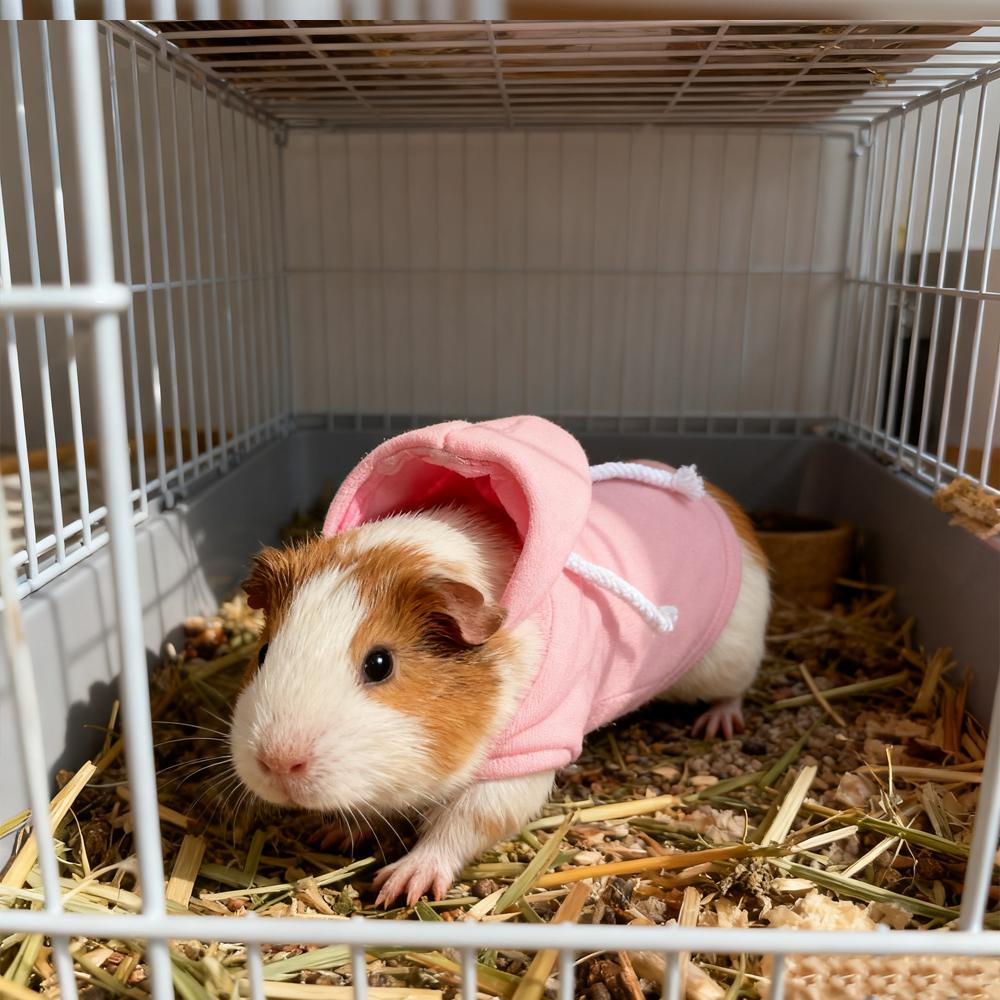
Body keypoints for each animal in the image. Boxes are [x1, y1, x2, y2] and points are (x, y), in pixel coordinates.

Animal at [229, 479, 769, 907]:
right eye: (263, 652)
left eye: (379, 664)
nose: (278, 762)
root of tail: (719, 500)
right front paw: (333, 833)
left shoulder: (521, 765)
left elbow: (463, 824)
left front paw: (400, 885)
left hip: (727, 662)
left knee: (736, 690)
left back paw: (717, 725)